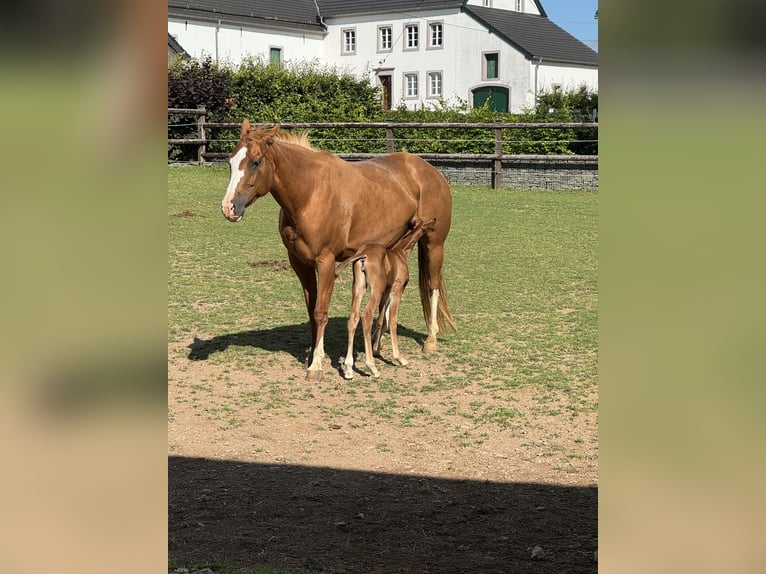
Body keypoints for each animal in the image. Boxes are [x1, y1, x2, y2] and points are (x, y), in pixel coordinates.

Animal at [338, 218, 438, 380]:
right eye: (425, 225)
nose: (434, 220)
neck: (401, 252)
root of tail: (362, 255)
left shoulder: (386, 291)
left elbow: (381, 320)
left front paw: (377, 349)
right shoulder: (397, 288)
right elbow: (392, 319)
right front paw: (399, 358)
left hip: (359, 287)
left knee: (353, 317)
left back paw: (348, 369)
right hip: (375, 290)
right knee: (366, 315)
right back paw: (372, 368)